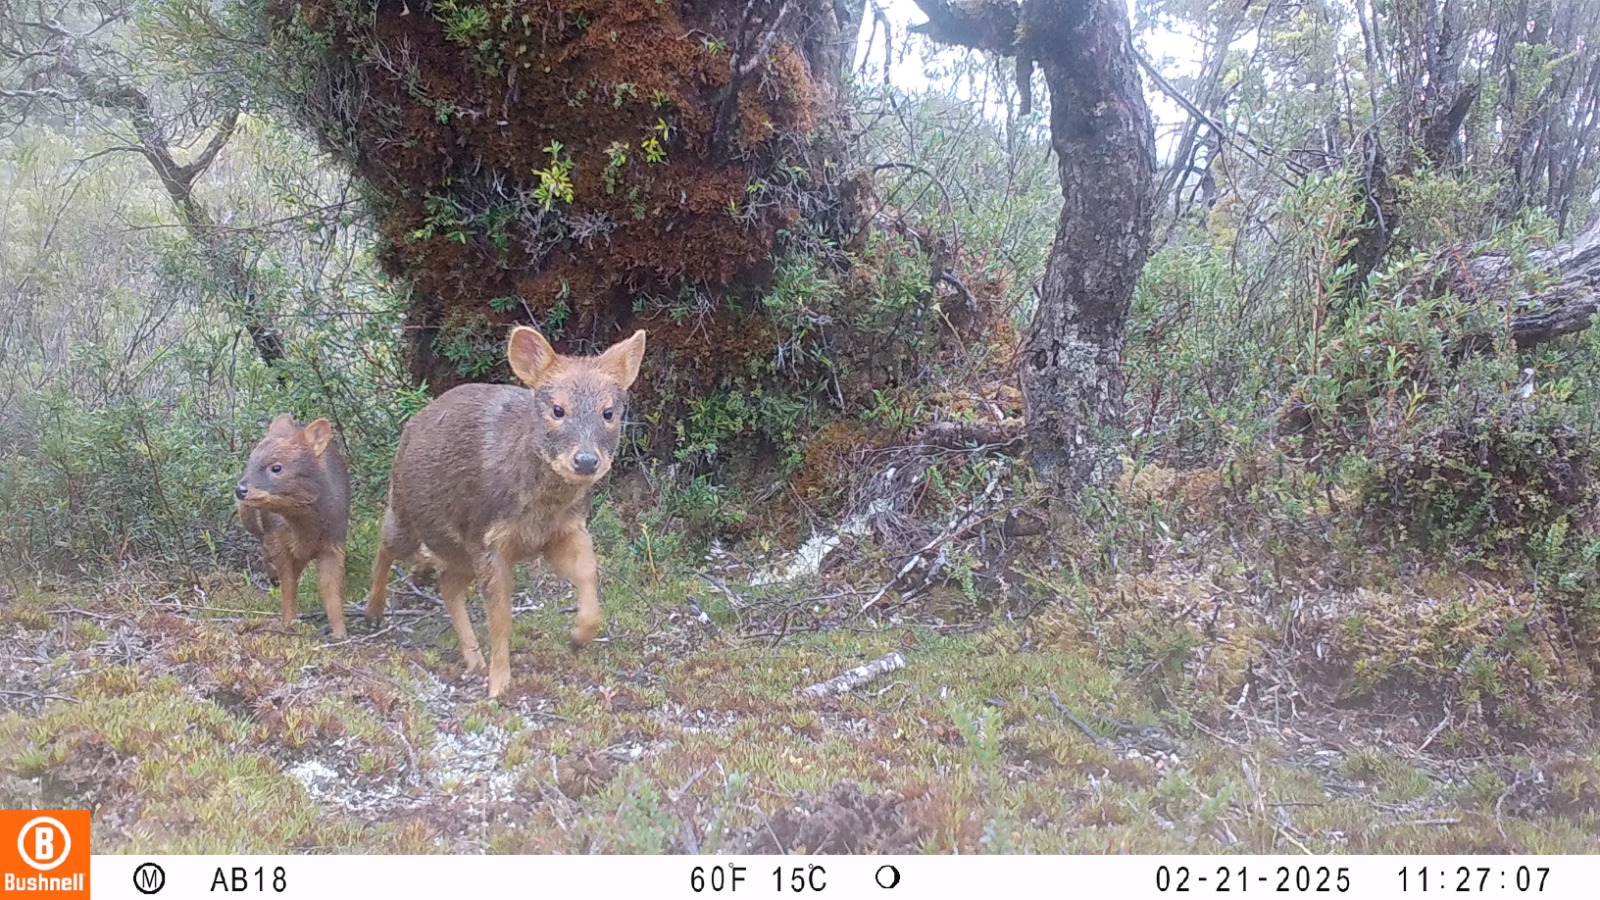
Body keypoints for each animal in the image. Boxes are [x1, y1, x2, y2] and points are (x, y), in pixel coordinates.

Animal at [236, 414, 350, 639]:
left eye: (277, 467)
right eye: (250, 461)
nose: (240, 490)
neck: (305, 531)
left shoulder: (334, 544)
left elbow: (332, 590)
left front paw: (341, 633)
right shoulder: (277, 540)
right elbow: (288, 586)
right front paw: (287, 625)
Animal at [365, 325, 646, 699]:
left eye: (609, 412)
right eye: (558, 409)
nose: (586, 461)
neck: (540, 508)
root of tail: (410, 426)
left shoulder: (565, 530)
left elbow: (587, 573)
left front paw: (578, 637)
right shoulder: (489, 539)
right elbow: (500, 616)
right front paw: (499, 685)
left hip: (459, 550)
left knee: (447, 583)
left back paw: (473, 658)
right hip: (413, 517)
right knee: (385, 545)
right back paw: (373, 611)